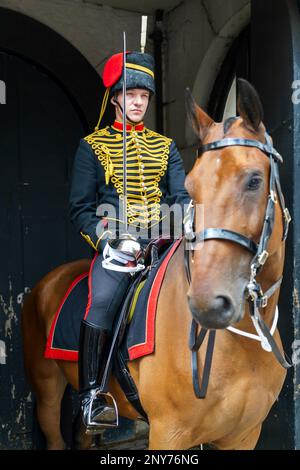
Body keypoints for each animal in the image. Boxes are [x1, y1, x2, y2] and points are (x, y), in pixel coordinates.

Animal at [21, 79, 290, 450]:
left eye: (254, 180)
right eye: (192, 187)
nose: (207, 303)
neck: (240, 345)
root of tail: (48, 282)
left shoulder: (244, 436)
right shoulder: (168, 432)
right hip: (47, 390)